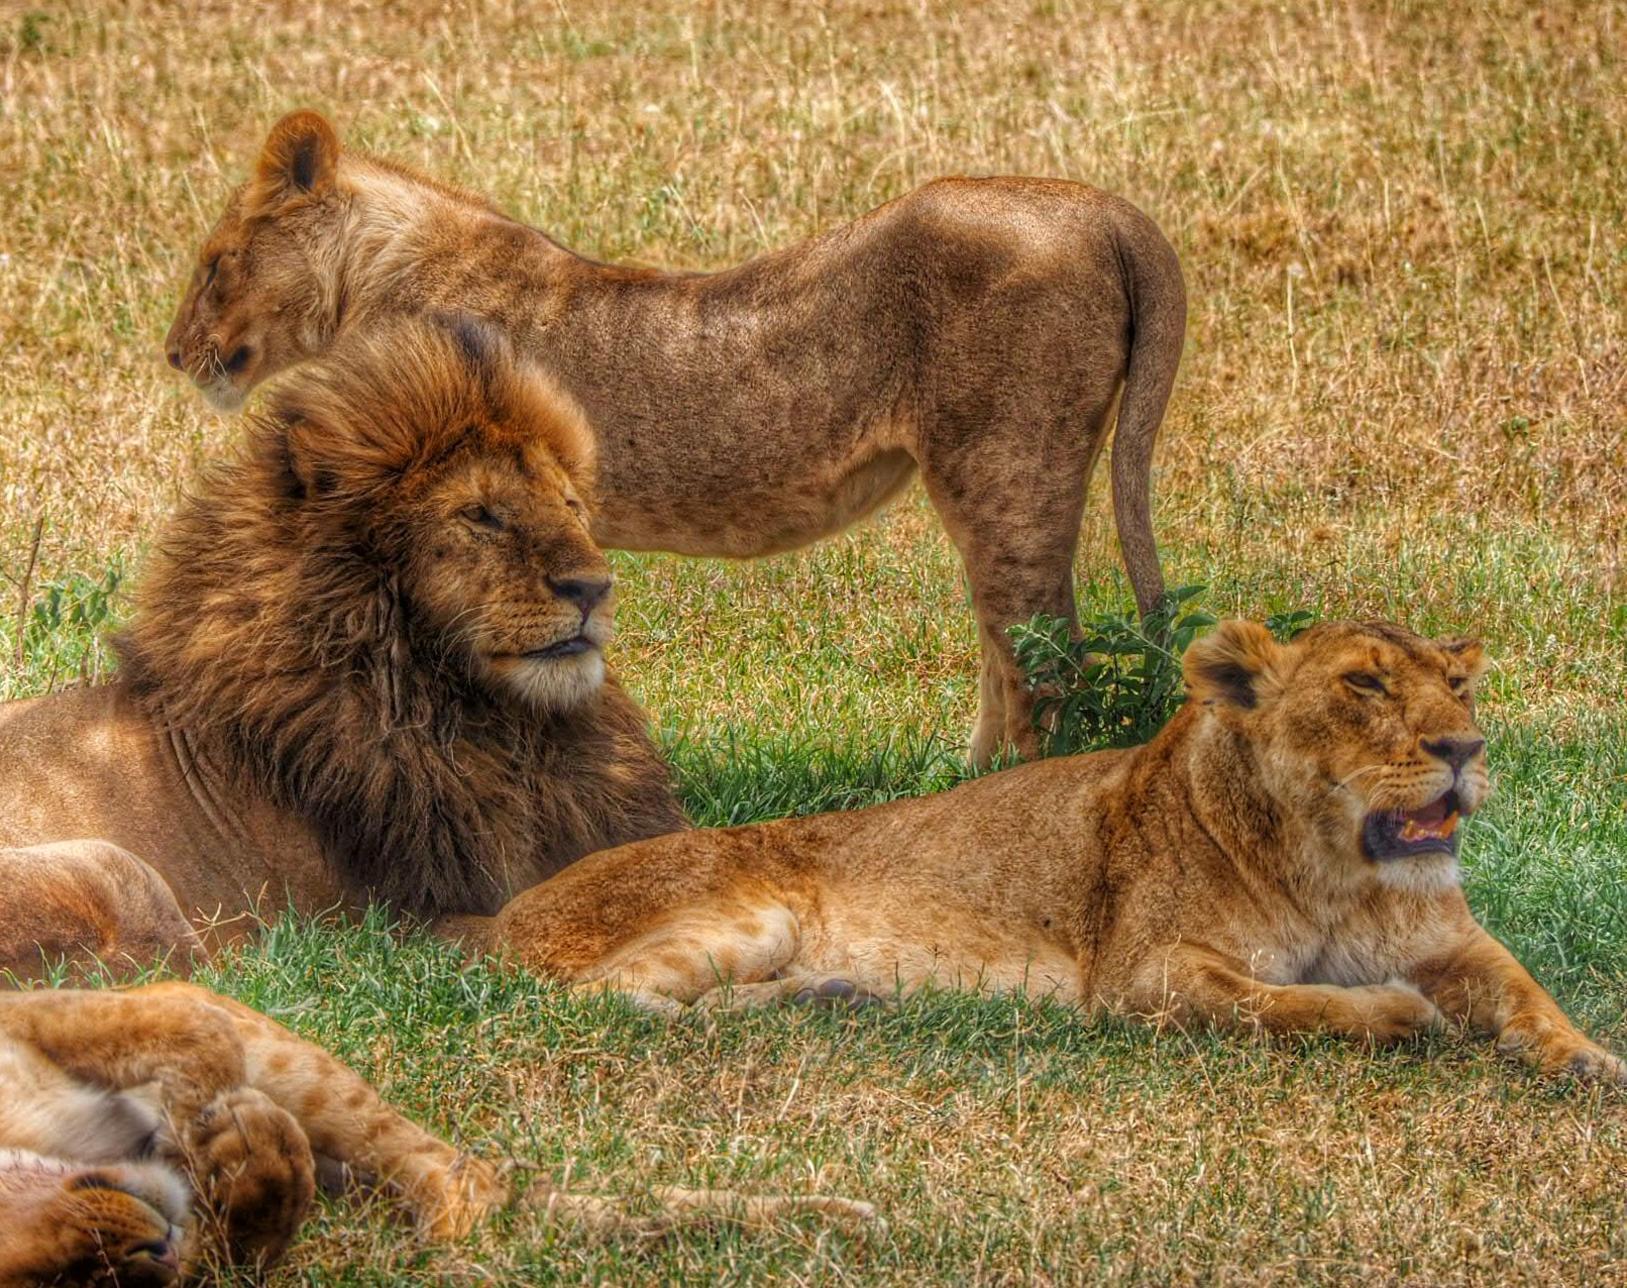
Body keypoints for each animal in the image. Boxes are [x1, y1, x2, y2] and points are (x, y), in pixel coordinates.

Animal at [0, 980, 876, 1285]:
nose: (145, 1250)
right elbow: (235, 1249)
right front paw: (238, 1166)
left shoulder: (38, 1007)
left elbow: (186, 1032)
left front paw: (201, 1113)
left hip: (305, 1070)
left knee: (460, 1181)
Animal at [163, 109, 1187, 766]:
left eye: (214, 265)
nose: (175, 354)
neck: (368, 280)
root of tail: (1105, 208)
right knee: (1010, 645)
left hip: (1003, 463)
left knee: (1043, 654)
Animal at [465, 620, 1623, 1084]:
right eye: (1365, 684)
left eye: (1458, 685)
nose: (1464, 748)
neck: (1338, 871)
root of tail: (495, 915)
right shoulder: (1143, 973)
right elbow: (1289, 1004)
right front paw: (1396, 1013)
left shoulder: (1451, 939)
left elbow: (1523, 988)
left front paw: (1588, 1060)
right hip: (746, 907)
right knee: (602, 1002)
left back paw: (830, 997)